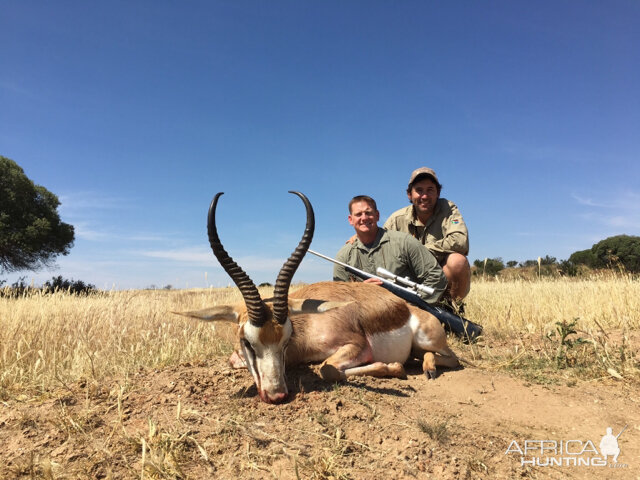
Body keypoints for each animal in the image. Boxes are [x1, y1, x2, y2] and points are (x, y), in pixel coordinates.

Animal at [176, 193, 460, 404]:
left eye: (286, 340)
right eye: (247, 342)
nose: (277, 395)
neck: (308, 330)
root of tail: (409, 308)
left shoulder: (357, 345)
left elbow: (327, 368)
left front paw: (393, 367)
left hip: (428, 340)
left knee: (452, 359)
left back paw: (427, 368)